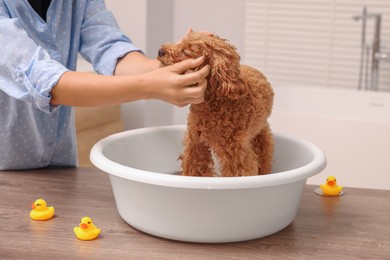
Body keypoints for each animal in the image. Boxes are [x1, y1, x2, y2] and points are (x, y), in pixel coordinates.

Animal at [157, 31, 272, 177]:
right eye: (180, 43)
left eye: (186, 51)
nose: (160, 51)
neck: (214, 103)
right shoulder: (196, 143)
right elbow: (195, 167)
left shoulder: (235, 153)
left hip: (261, 135)